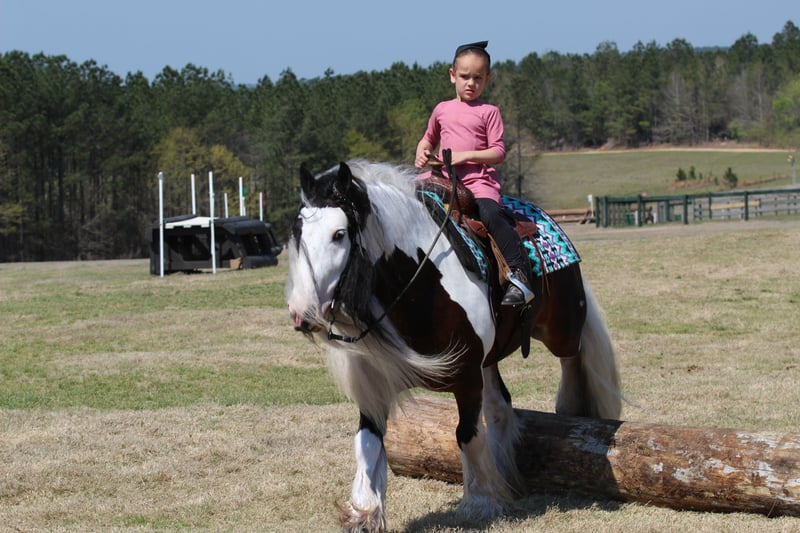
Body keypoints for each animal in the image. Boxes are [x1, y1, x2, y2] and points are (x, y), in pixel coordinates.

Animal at [285, 160, 621, 532]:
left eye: (339, 234)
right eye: (298, 232)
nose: (302, 312)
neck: (421, 284)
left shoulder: (467, 377)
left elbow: (467, 434)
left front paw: (479, 503)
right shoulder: (376, 386)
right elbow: (368, 441)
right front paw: (365, 512)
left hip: (562, 330)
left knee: (574, 361)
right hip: (491, 360)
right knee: (500, 406)